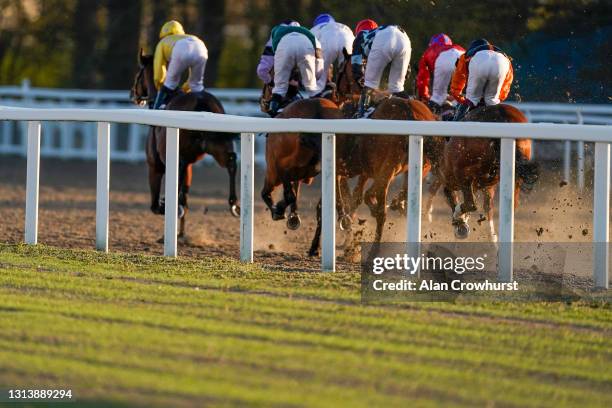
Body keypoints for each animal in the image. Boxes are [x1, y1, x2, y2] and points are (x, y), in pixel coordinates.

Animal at [130, 51, 239, 242]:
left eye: (138, 75)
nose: (133, 95)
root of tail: (201, 101)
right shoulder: (189, 163)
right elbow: (184, 192)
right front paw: (180, 232)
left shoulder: (155, 165)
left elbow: (155, 204)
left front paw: (166, 209)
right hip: (217, 145)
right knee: (231, 162)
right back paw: (233, 204)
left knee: (177, 174)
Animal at [432, 103, 536, 241]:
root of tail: (501, 116)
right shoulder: (487, 185)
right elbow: (488, 207)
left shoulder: (451, 179)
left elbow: (455, 197)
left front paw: (460, 222)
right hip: (514, 175)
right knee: (511, 205)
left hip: (463, 171)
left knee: (472, 203)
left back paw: (459, 216)